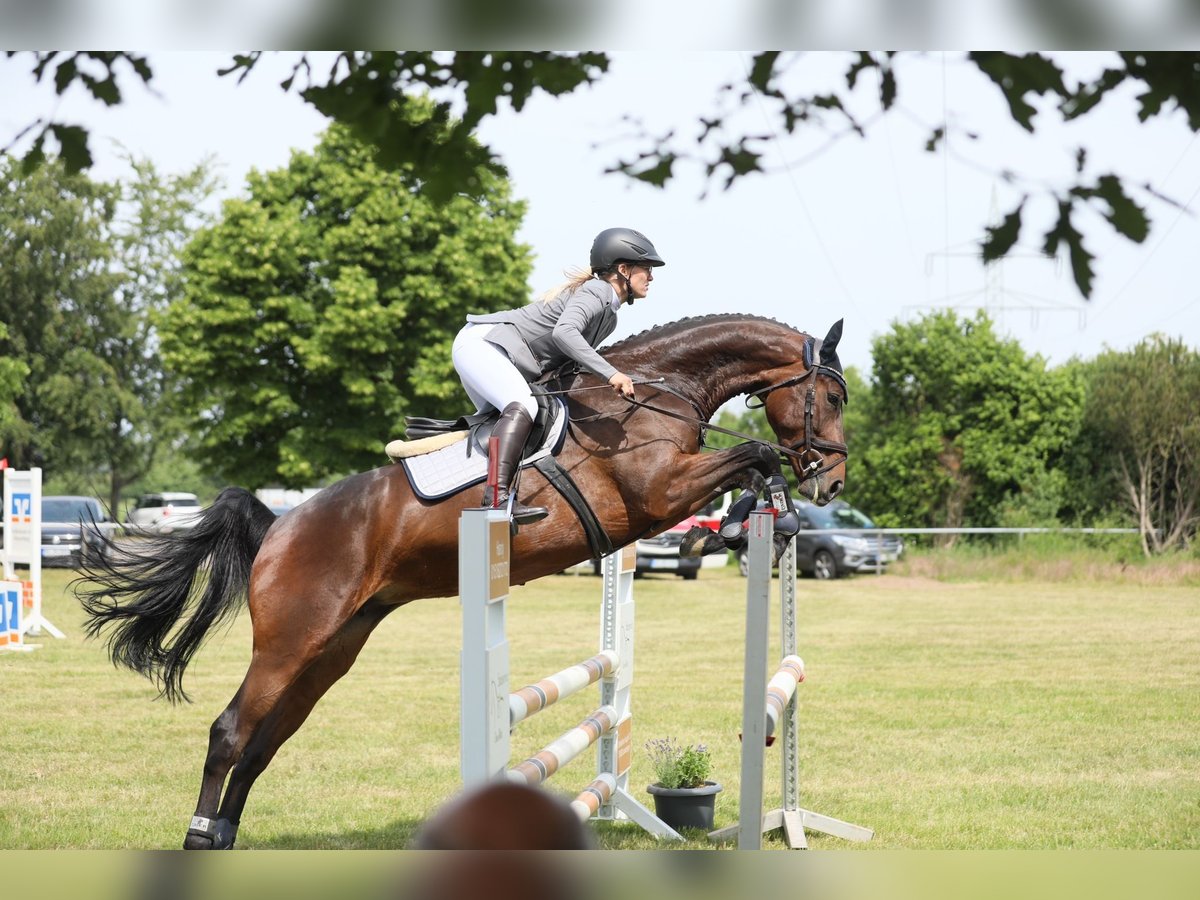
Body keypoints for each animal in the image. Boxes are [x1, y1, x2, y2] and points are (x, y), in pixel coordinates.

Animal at [77, 314, 844, 849]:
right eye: (832, 395)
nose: (833, 482)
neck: (649, 396)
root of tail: (279, 526)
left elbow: (753, 460)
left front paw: (759, 520)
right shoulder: (656, 494)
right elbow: (754, 451)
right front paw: (755, 513)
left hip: (332, 649)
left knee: (265, 742)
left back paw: (227, 836)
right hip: (288, 642)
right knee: (231, 732)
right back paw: (198, 838)